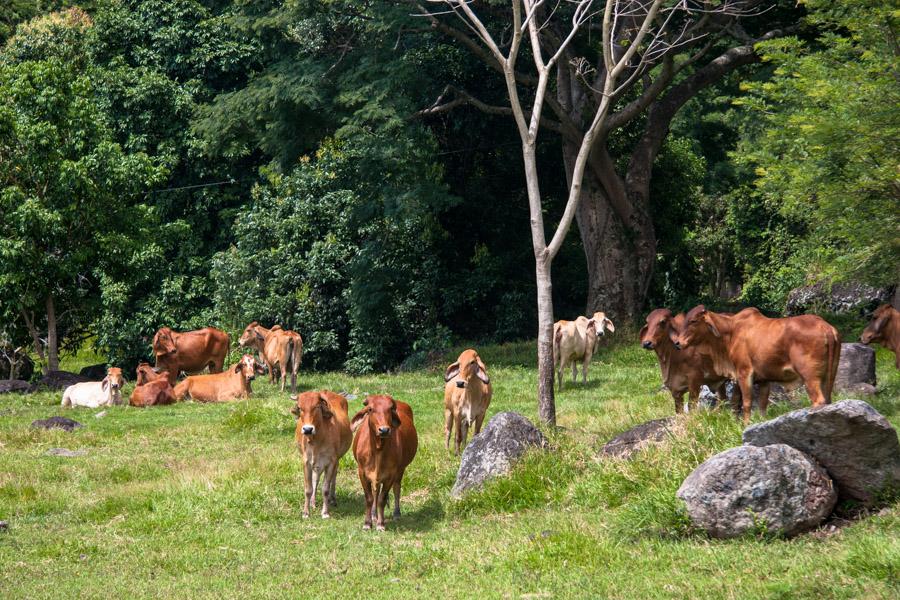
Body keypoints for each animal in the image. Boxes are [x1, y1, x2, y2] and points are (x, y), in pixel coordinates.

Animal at [354, 396, 420, 532]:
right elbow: (369, 498)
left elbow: (382, 499)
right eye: (370, 409)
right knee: (375, 491)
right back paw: (374, 514)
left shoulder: (391, 475)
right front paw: (367, 523)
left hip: (400, 470)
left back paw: (396, 513)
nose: (384, 430)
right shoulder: (362, 472)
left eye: (390, 409)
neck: (377, 450)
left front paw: (380, 524)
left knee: (396, 488)